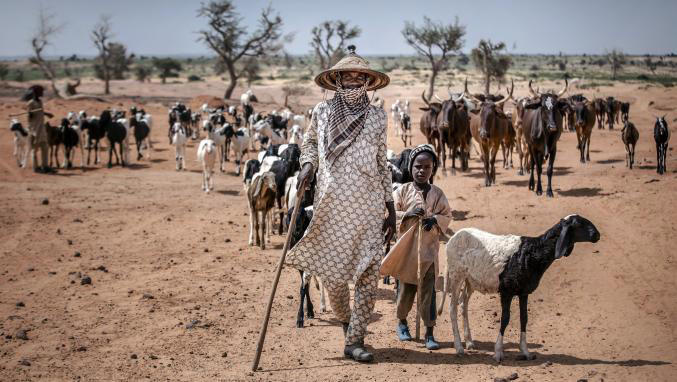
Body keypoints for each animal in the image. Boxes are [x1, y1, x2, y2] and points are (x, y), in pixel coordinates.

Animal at [438, 215, 604, 362]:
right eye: (579, 224)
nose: (597, 235)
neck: (533, 252)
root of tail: (454, 237)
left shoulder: (524, 292)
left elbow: (524, 318)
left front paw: (525, 352)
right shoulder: (506, 291)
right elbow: (505, 319)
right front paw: (498, 352)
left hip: (470, 280)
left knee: (463, 304)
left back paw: (469, 342)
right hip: (456, 274)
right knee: (452, 308)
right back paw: (459, 347)